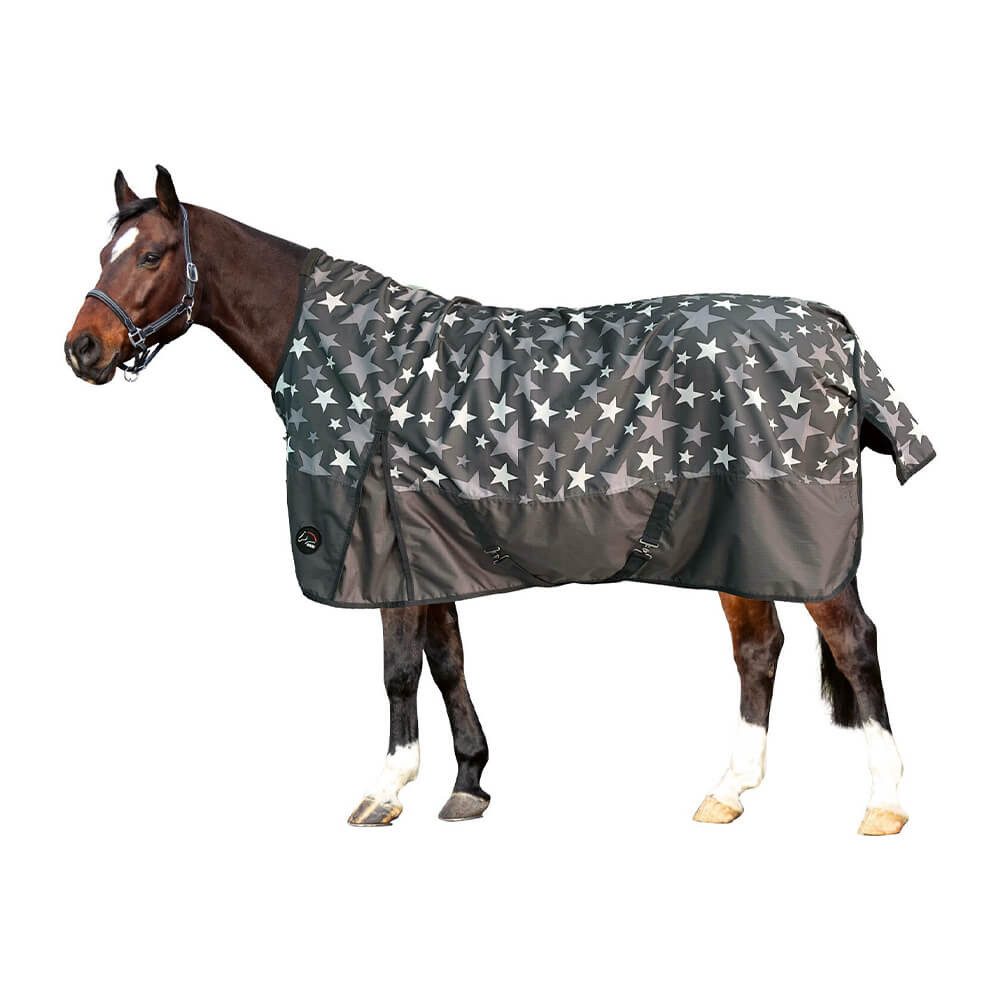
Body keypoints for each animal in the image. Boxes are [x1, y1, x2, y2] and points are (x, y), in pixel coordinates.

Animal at [64, 166, 933, 835]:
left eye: (150, 254)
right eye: (103, 253)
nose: (81, 349)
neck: (363, 368)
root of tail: (830, 329)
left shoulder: (381, 550)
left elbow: (398, 671)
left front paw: (385, 791)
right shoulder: (427, 548)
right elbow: (446, 661)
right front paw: (468, 784)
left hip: (801, 544)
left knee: (854, 643)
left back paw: (886, 804)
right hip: (739, 541)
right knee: (759, 649)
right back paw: (727, 793)